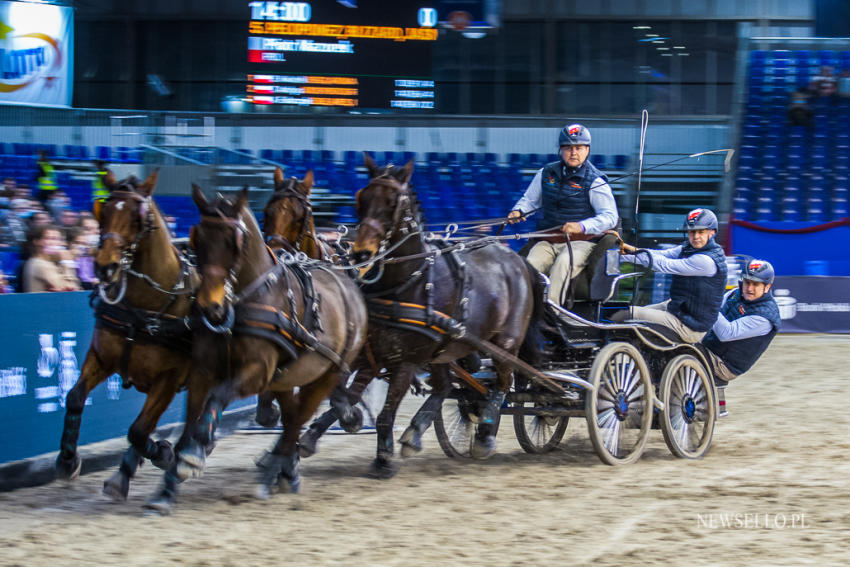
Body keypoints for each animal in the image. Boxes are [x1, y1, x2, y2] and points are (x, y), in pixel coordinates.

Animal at [53, 171, 200, 504]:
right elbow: (75, 397)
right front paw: (67, 460)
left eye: (137, 217)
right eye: (104, 210)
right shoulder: (101, 357)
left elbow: (138, 430)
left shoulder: (170, 378)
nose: (104, 266)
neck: (145, 307)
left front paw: (163, 453)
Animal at [170, 184, 368, 500]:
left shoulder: (258, 371)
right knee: (294, 415)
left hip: (329, 369)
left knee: (302, 414)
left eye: (234, 242)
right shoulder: (209, 368)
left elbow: (220, 396)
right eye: (195, 238)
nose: (209, 306)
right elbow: (201, 408)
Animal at [344, 153, 544, 478]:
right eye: (360, 198)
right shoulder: (371, 352)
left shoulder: (406, 361)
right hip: (446, 350)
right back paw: (421, 432)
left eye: (393, 203)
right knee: (454, 386)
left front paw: (383, 460)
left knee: (502, 384)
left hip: (506, 342)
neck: (407, 280)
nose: (361, 254)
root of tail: (519, 261)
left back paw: (484, 436)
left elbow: (386, 414)